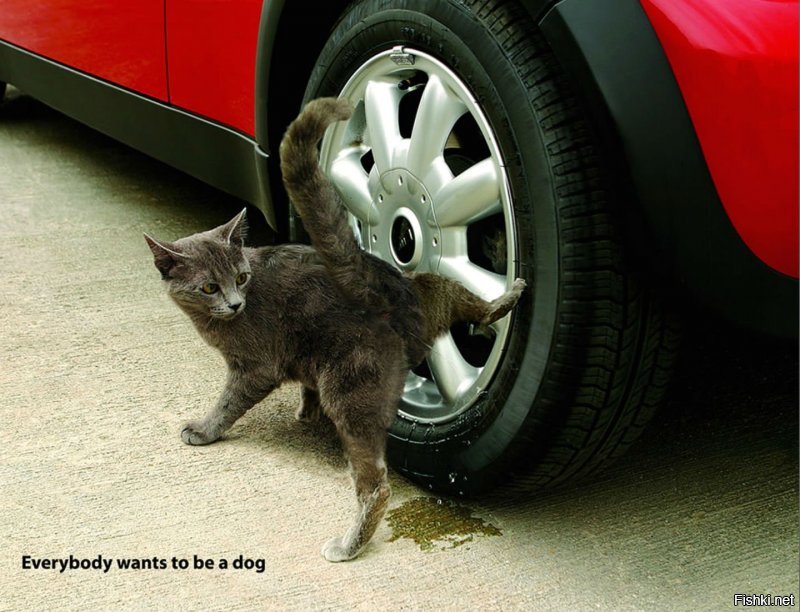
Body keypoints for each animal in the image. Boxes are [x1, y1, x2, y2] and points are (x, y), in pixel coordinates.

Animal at [145, 98, 524, 560]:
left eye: (242, 278)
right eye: (209, 287)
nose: (235, 303)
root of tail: (371, 281)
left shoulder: (255, 366)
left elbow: (229, 401)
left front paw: (202, 429)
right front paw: (305, 410)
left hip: (351, 389)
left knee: (376, 485)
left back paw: (349, 545)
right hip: (428, 289)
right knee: (466, 300)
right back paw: (510, 295)